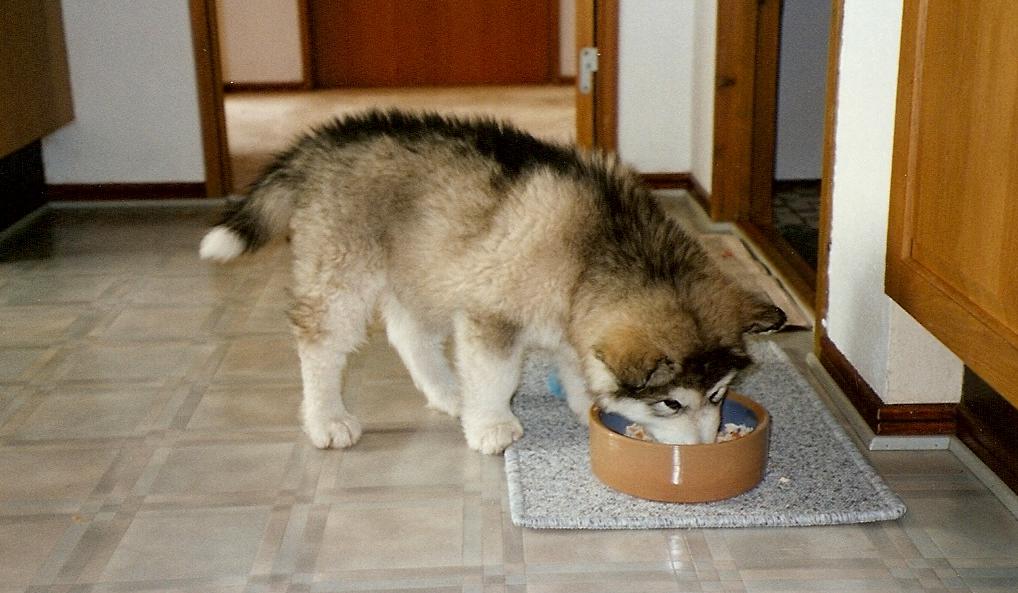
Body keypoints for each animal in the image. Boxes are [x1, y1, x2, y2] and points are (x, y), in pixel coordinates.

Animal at [200, 110, 785, 455]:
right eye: (671, 404)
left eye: (719, 394)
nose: (705, 447)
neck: (594, 248)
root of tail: (320, 142)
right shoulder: (492, 314)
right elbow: (497, 376)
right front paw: (492, 426)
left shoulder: (575, 318)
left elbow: (578, 369)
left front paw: (586, 408)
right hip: (345, 273)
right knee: (321, 344)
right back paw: (328, 417)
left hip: (427, 264)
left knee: (408, 333)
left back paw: (447, 392)